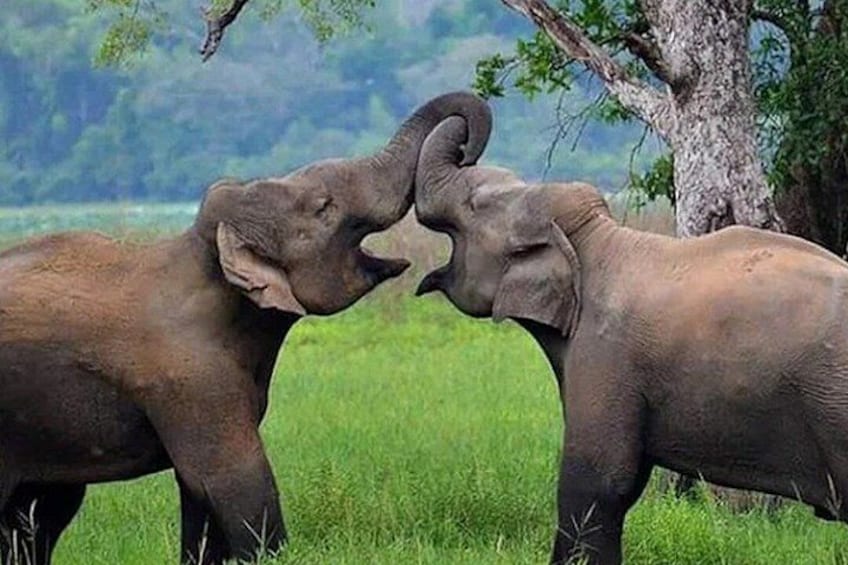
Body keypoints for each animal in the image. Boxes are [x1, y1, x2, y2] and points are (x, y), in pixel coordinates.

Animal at [0, 92, 492, 565]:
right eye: (322, 207)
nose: (464, 150)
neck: (209, 256)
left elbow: (198, 496)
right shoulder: (188, 378)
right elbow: (233, 481)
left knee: (42, 512)